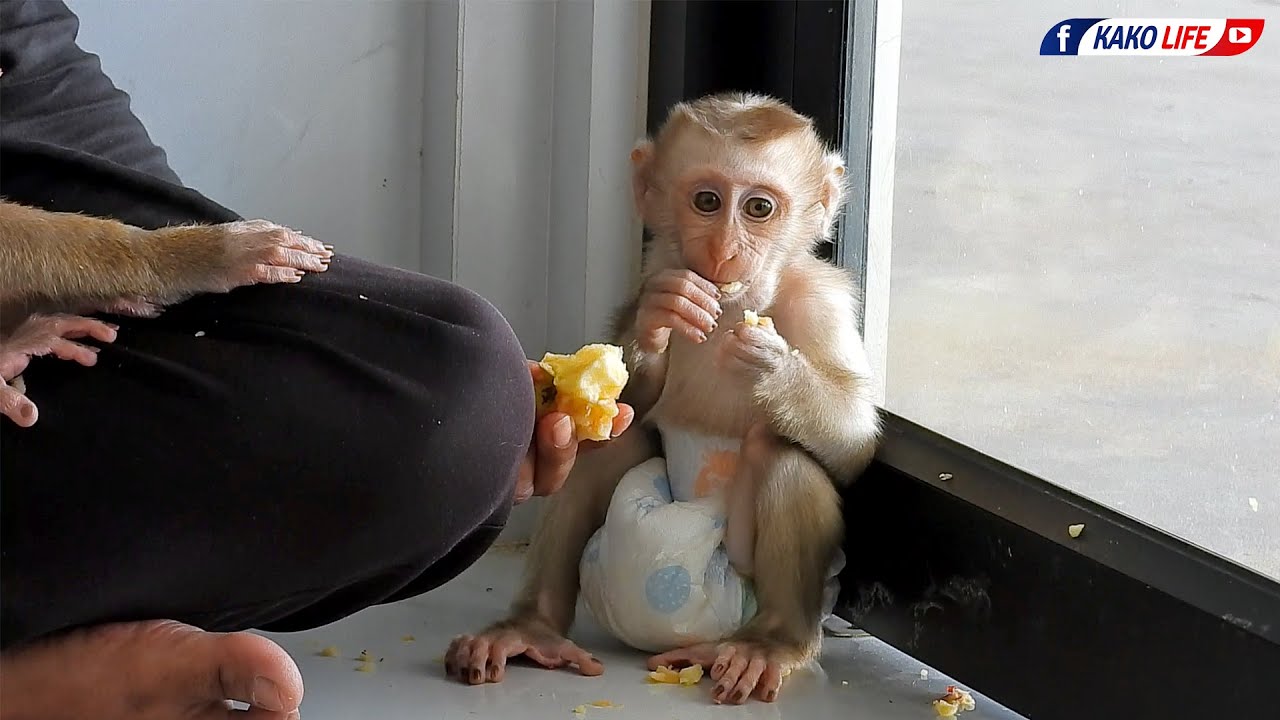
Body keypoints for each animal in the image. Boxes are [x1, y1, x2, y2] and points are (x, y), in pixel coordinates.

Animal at [444, 93, 882, 705]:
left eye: (759, 209)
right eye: (707, 201)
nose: (724, 250)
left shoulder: (820, 304)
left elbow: (855, 442)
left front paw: (773, 367)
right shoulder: (660, 264)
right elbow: (637, 390)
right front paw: (657, 321)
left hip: (740, 589)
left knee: (784, 457)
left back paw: (773, 642)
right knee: (609, 445)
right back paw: (532, 628)